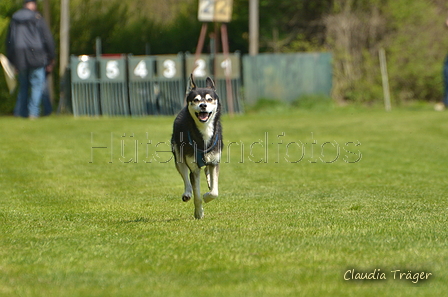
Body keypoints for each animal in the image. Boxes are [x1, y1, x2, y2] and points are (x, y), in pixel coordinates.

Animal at [172, 74, 222, 217]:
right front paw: (199, 213)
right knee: (185, 175)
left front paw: (207, 195)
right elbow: (197, 195)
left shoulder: (215, 161)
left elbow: (214, 192)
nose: (203, 105)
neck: (204, 131)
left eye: (210, 99)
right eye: (195, 100)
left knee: (208, 171)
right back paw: (187, 193)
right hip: (178, 155)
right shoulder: (194, 168)